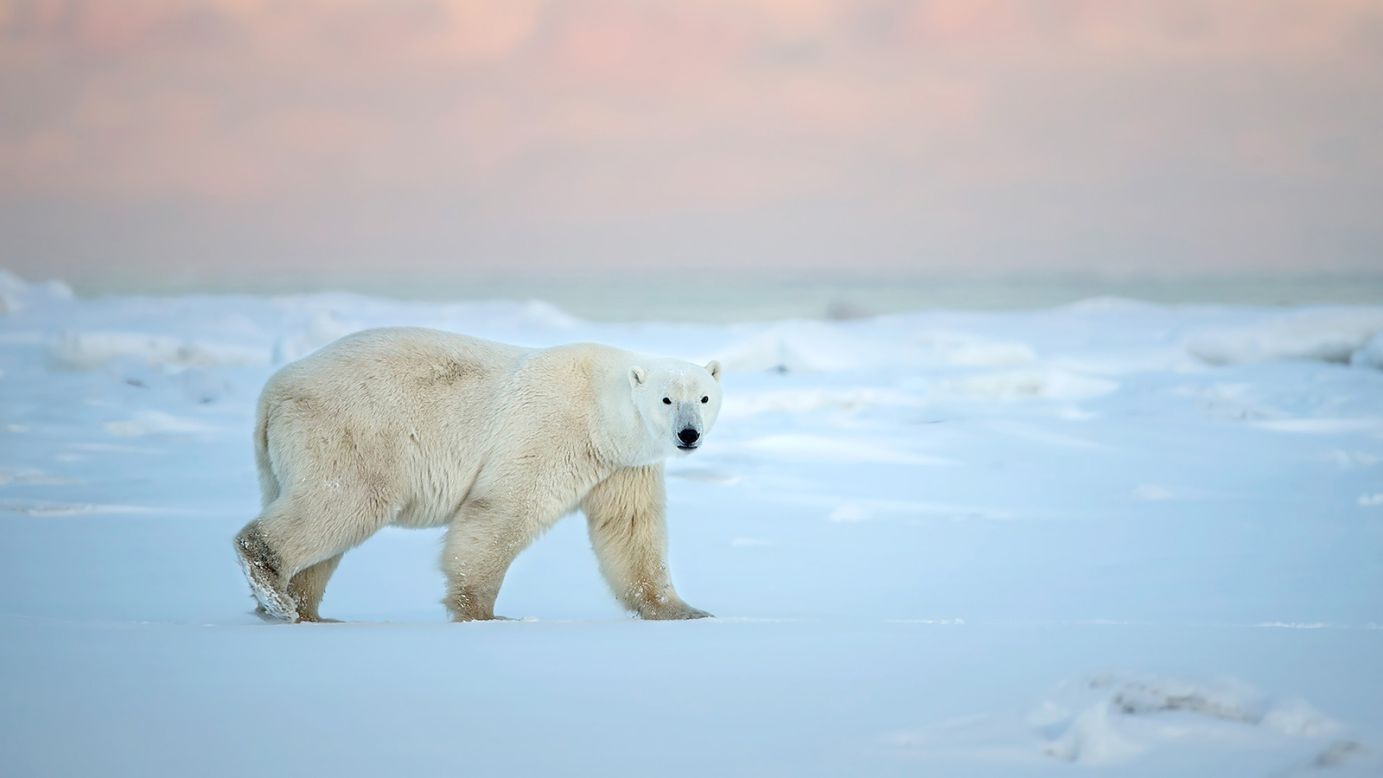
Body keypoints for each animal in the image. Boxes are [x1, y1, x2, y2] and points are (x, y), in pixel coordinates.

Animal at [233, 326, 724, 624]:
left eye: (703, 397)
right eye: (666, 399)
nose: (688, 434)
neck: (601, 407)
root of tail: (271, 394)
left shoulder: (623, 464)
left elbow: (631, 530)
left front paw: (685, 611)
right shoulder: (550, 428)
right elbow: (502, 508)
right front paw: (484, 614)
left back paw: (307, 611)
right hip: (351, 431)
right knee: (344, 501)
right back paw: (275, 590)